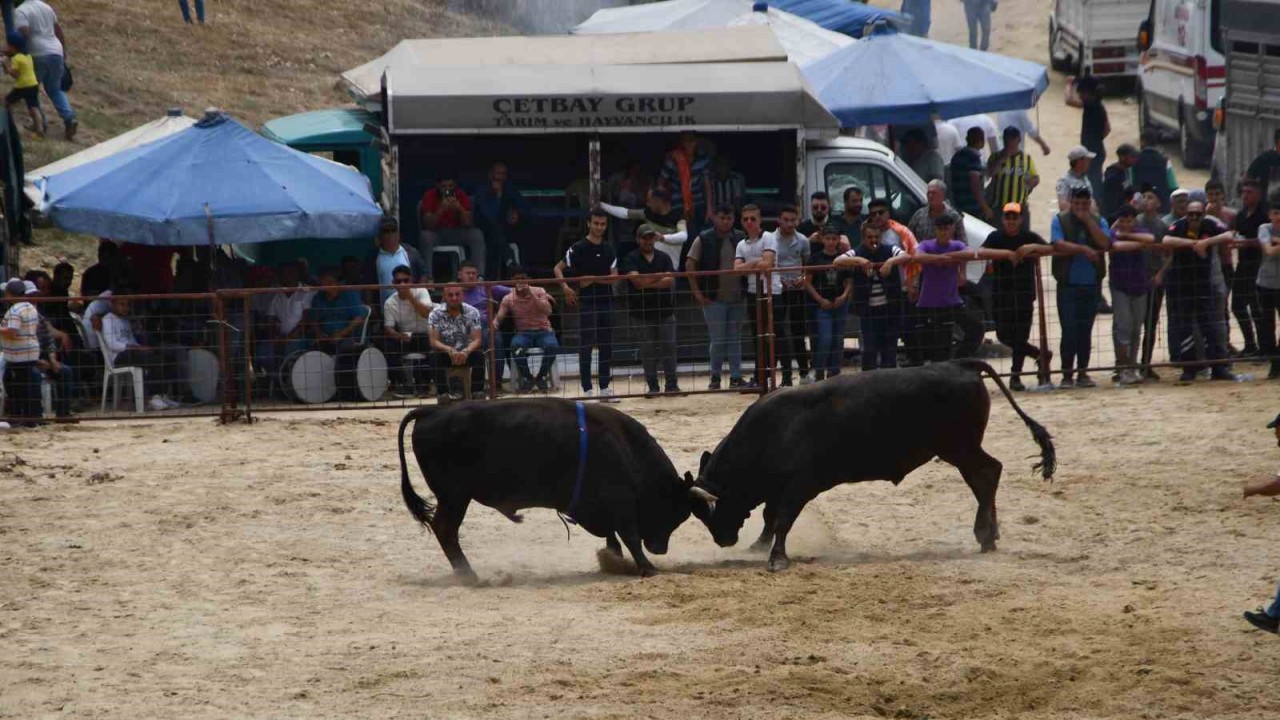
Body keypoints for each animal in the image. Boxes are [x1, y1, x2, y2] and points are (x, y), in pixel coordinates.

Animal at [399, 394, 701, 579]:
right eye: (675, 512)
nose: (660, 549)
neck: (624, 446)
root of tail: (430, 410)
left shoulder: (601, 509)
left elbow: (612, 537)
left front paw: (614, 562)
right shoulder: (621, 504)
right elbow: (630, 536)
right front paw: (647, 567)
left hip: (453, 497)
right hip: (455, 497)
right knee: (446, 529)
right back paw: (469, 575)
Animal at [691, 361, 1059, 568]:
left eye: (714, 509)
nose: (723, 541)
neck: (773, 430)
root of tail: (962, 365)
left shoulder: (799, 487)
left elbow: (783, 520)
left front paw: (777, 558)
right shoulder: (778, 488)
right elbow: (770, 517)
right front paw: (759, 546)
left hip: (960, 448)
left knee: (988, 473)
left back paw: (984, 533)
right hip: (959, 450)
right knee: (983, 477)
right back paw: (989, 535)